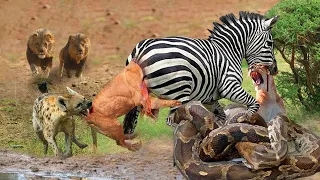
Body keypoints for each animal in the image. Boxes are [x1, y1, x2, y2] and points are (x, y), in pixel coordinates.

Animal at [122, 11, 278, 135]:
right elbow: (253, 104)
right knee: (170, 121)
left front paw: (219, 132)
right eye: (270, 43)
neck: (228, 51)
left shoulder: (210, 99)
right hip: (179, 92)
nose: (275, 69)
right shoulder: (230, 87)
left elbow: (221, 117)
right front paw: (244, 121)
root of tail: (142, 49)